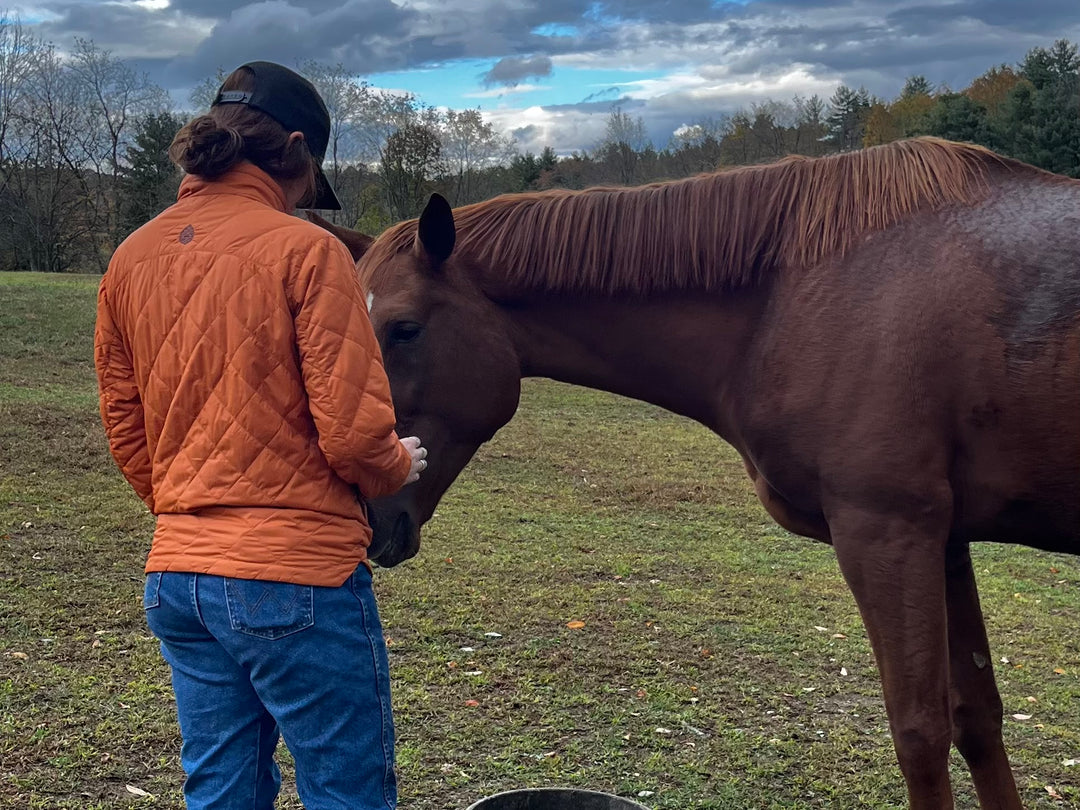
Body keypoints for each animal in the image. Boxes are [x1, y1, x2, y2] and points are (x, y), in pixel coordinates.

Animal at [321, 136, 1080, 807]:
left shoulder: (890, 533)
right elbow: (978, 719)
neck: (795, 292)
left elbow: (920, 735)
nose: (368, 509)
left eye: (405, 329)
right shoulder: (945, 541)